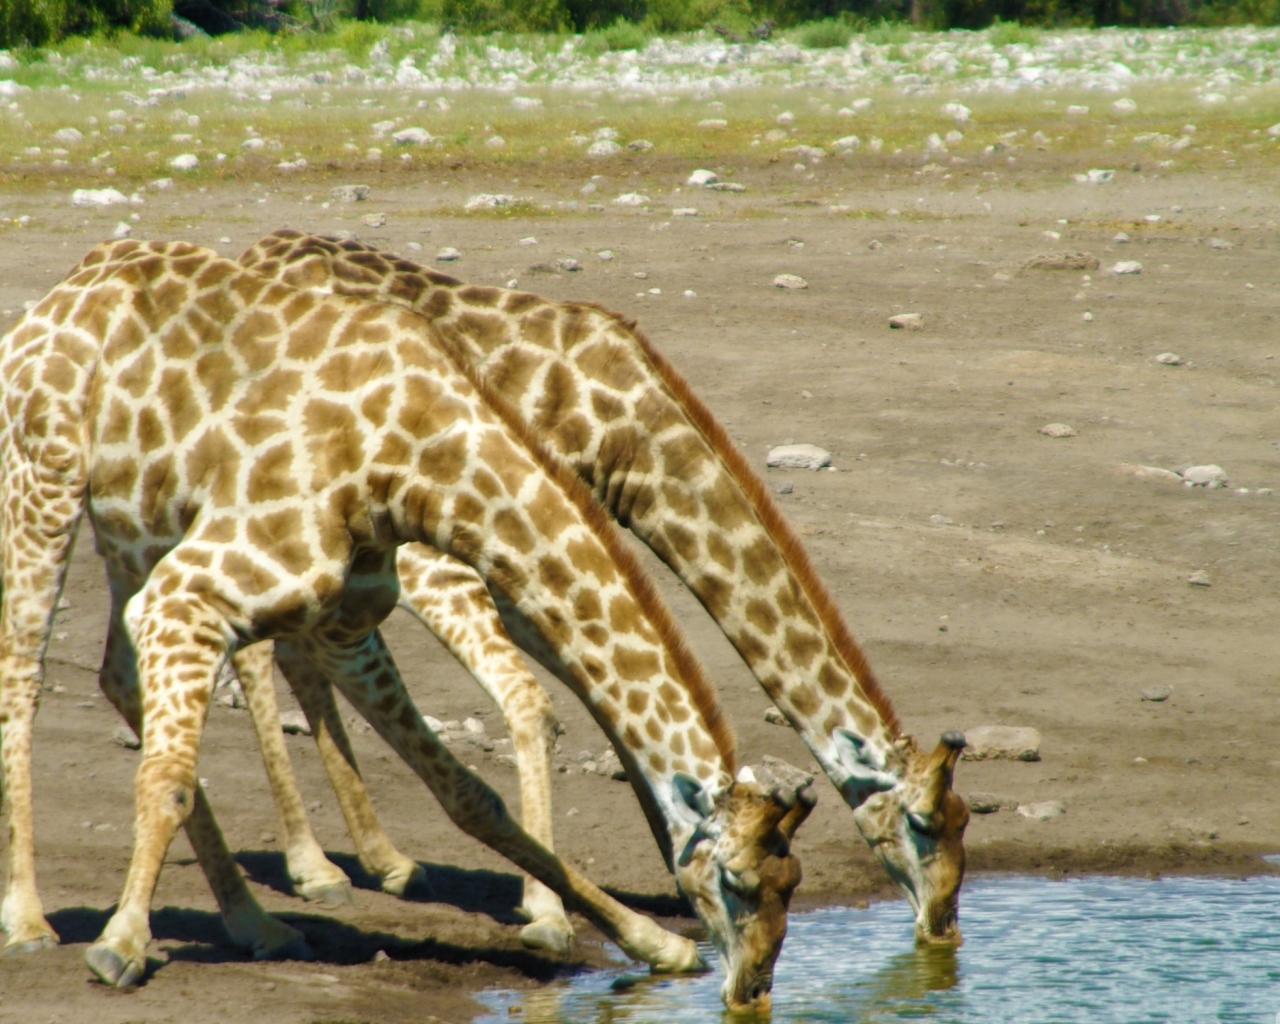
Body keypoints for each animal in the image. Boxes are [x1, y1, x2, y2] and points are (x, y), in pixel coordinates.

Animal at [0, 238, 808, 1008]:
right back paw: (31, 920)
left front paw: (650, 943)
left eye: (791, 884)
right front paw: (121, 943)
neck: (420, 458)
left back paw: (257, 922)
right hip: (43, 485)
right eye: (737, 882)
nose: (753, 987)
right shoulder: (190, 592)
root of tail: (59, 294)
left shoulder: (343, 621)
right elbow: (167, 776)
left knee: (115, 671)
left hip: (134, 527)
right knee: (24, 676)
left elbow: (471, 796)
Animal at [235, 234, 967, 942]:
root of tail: (257, 251)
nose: (942, 926)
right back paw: (314, 868)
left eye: (964, 822)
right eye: (924, 824)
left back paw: (380, 860)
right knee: (259, 648)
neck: (628, 436)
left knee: (294, 648)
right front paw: (549, 907)